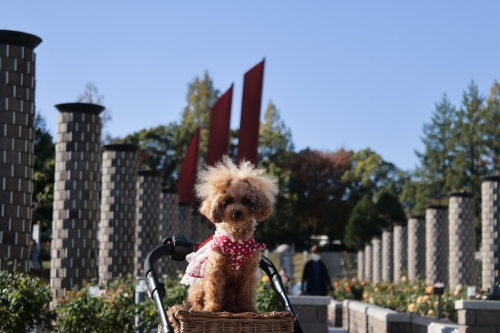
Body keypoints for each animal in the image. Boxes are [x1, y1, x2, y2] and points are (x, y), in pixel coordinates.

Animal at [175, 156, 278, 314]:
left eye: (246, 201)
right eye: (228, 201)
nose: (236, 213)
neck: (236, 239)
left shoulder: (248, 273)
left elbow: (247, 293)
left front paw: (248, 309)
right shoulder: (215, 270)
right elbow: (214, 291)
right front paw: (212, 308)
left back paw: (233, 309)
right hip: (199, 285)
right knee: (194, 300)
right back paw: (198, 308)